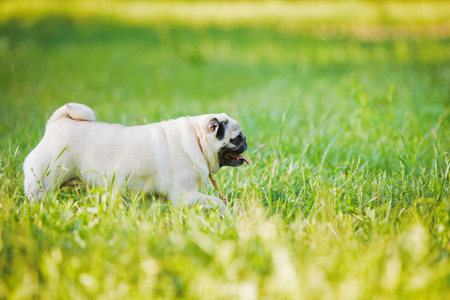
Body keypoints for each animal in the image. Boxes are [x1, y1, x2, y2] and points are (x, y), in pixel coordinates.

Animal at [22, 103, 248, 211]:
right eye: (236, 138)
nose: (246, 142)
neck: (197, 139)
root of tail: (58, 123)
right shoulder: (185, 194)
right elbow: (216, 202)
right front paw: (226, 213)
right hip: (43, 183)